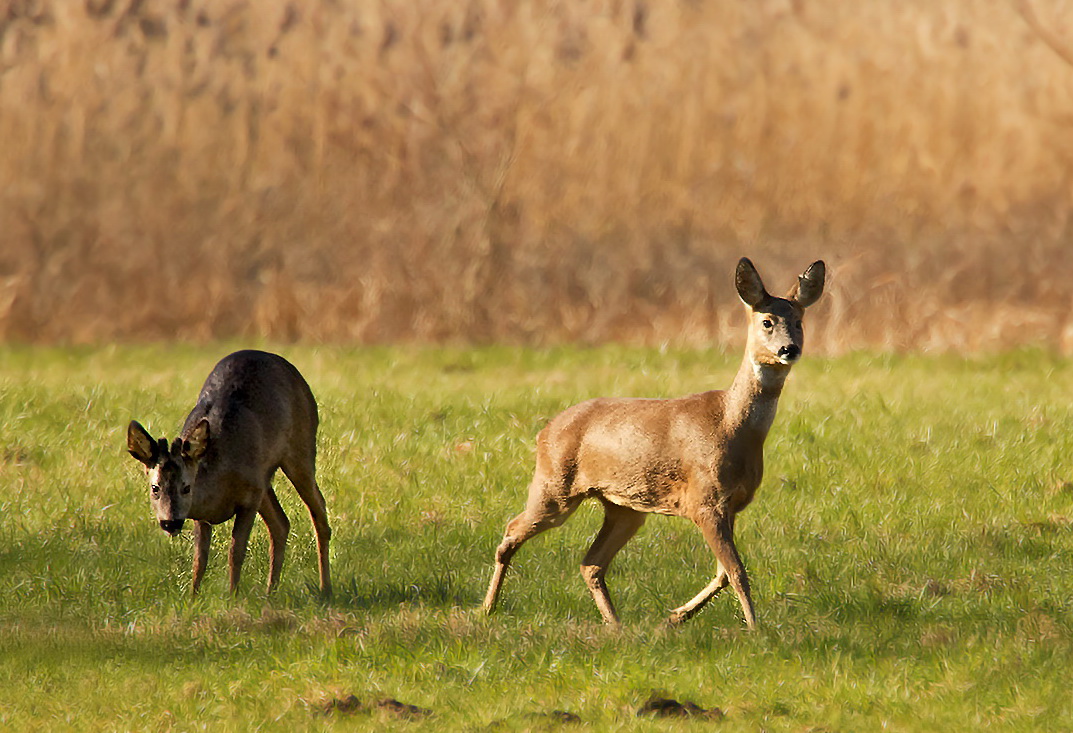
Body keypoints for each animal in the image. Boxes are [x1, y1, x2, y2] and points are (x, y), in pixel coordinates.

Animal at [123, 352, 330, 600]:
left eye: (186, 487)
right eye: (155, 488)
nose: (170, 522)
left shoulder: (250, 496)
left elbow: (235, 552)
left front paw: (232, 597)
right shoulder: (202, 514)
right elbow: (199, 560)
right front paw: (192, 598)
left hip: (301, 449)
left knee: (318, 509)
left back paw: (325, 588)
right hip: (265, 480)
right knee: (281, 523)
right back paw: (271, 592)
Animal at [482, 259, 824, 631]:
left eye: (798, 321)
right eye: (767, 321)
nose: (789, 349)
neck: (732, 424)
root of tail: (544, 431)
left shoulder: (731, 504)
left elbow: (722, 573)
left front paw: (675, 617)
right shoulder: (704, 499)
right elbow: (736, 571)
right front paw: (754, 629)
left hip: (624, 508)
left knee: (591, 562)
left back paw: (616, 625)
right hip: (554, 487)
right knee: (511, 531)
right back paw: (487, 608)